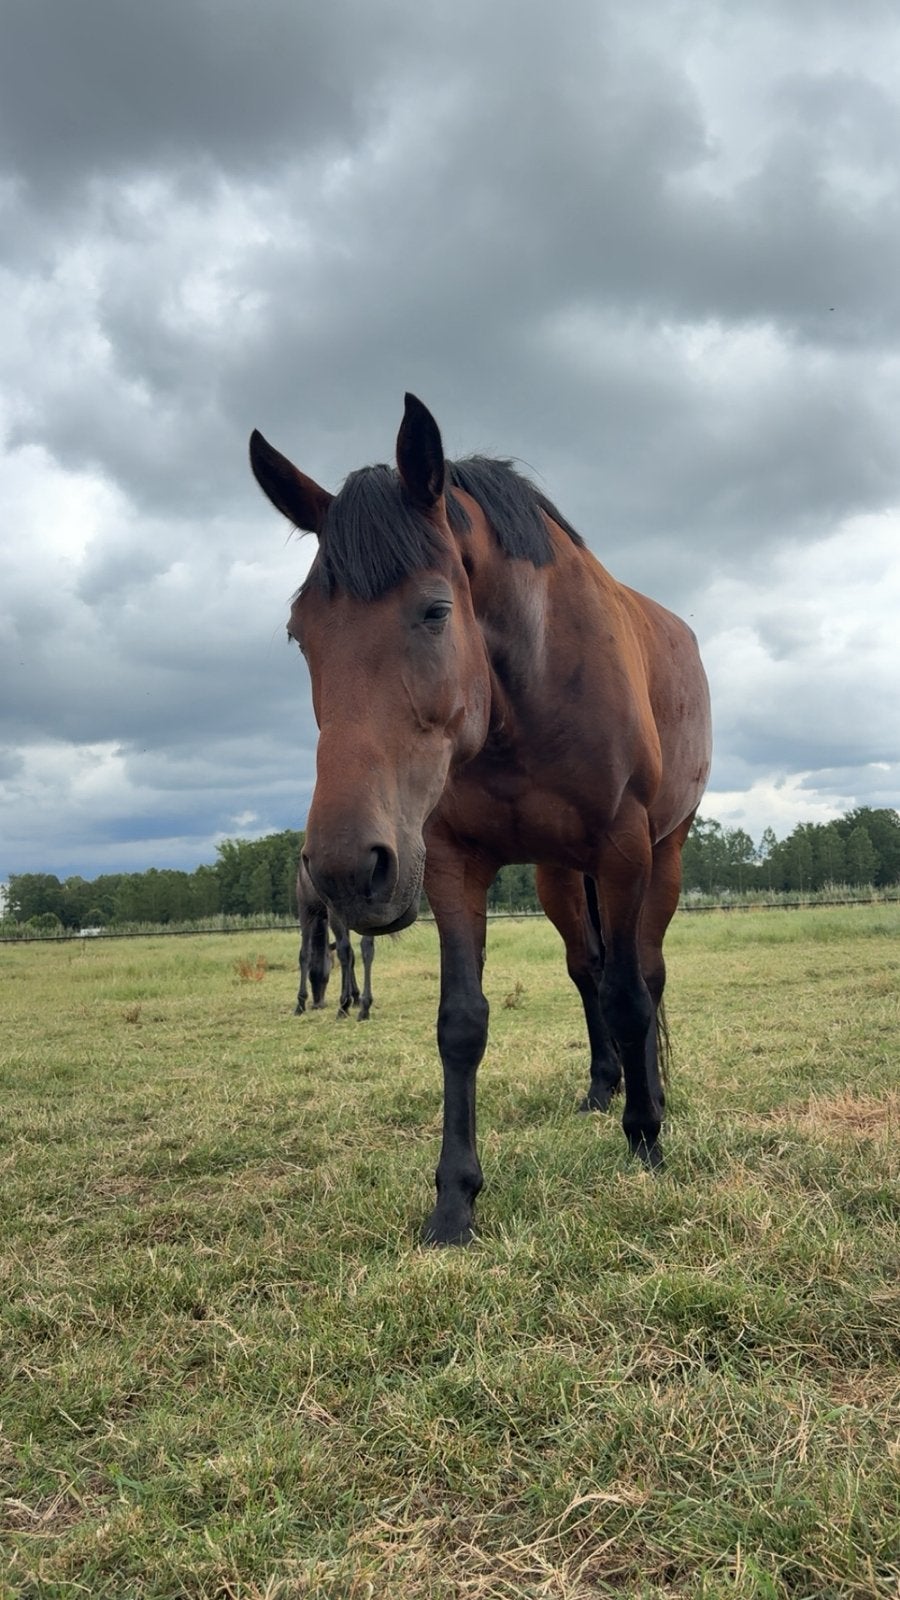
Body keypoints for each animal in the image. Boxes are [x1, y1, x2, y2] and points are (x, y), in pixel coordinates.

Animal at [295, 856, 375, 1020]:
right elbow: (352, 958)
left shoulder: (305, 910)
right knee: (366, 948)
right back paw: (364, 1006)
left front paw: (300, 1003)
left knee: (344, 951)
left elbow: (304, 954)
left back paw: (343, 1006)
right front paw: (356, 997)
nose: (318, 1004)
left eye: (325, 976)